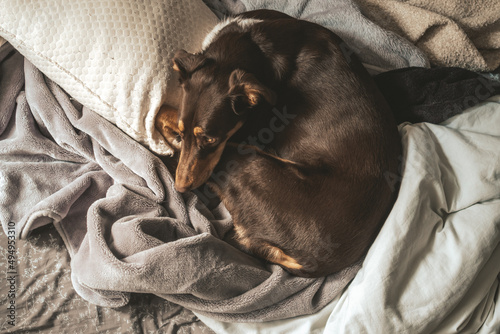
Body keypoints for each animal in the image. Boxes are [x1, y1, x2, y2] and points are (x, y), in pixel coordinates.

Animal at [156, 10, 402, 276]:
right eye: (185, 133)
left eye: (210, 139)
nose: (181, 188)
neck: (253, 46)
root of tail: (312, 262)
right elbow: (167, 117)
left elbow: (164, 115)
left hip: (244, 161)